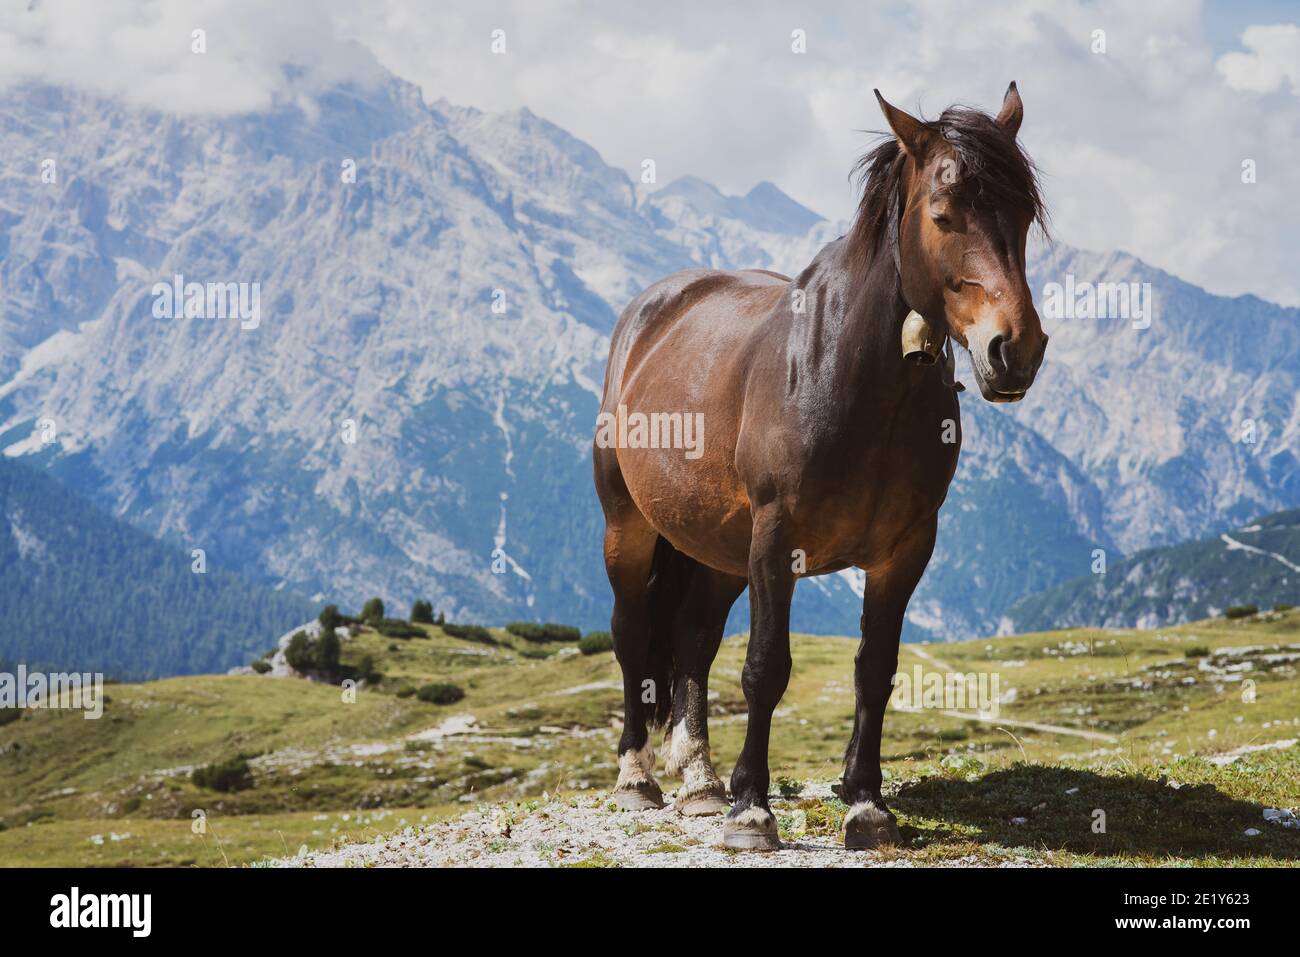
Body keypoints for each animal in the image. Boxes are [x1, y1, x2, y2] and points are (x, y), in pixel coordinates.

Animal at [593, 83, 1049, 851]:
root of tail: (649, 311)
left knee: (692, 639)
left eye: (1022, 214)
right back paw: (638, 777)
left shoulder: (905, 549)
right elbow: (765, 668)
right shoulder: (777, 541)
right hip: (629, 526)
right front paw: (753, 810)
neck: (851, 376)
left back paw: (701, 784)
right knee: (632, 635)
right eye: (943, 214)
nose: (1014, 350)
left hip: (720, 549)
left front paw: (865, 802)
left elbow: (875, 669)